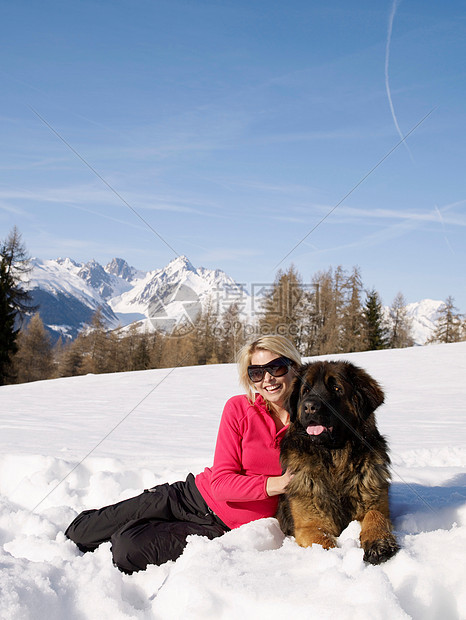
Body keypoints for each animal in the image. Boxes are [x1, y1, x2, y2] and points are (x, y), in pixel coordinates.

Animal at [276, 358, 400, 568]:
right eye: (305, 391)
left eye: (336, 388)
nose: (309, 406)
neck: (335, 459)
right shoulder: (309, 523)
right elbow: (322, 540)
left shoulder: (375, 499)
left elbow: (375, 515)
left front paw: (379, 544)